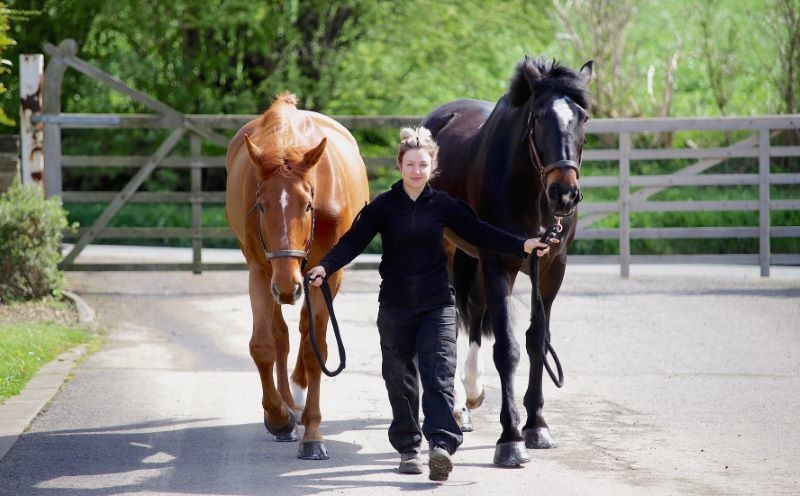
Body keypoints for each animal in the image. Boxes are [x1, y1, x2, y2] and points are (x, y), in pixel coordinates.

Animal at [226, 92, 369, 460]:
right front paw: (279, 418)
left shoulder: (325, 277)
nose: (288, 287)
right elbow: (263, 345)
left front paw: (313, 435)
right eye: (262, 206)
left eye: (307, 205)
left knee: (306, 334)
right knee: (282, 336)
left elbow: (315, 351)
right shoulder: (261, 271)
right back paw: (290, 407)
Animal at [422, 56, 592, 466]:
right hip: (450, 251)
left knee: (475, 310)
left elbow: (537, 341)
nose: (564, 194)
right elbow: (508, 348)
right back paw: (458, 407)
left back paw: (470, 397)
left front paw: (537, 426)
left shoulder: (550, 268)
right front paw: (511, 438)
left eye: (584, 118)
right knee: (451, 316)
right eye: (539, 118)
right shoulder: (498, 261)